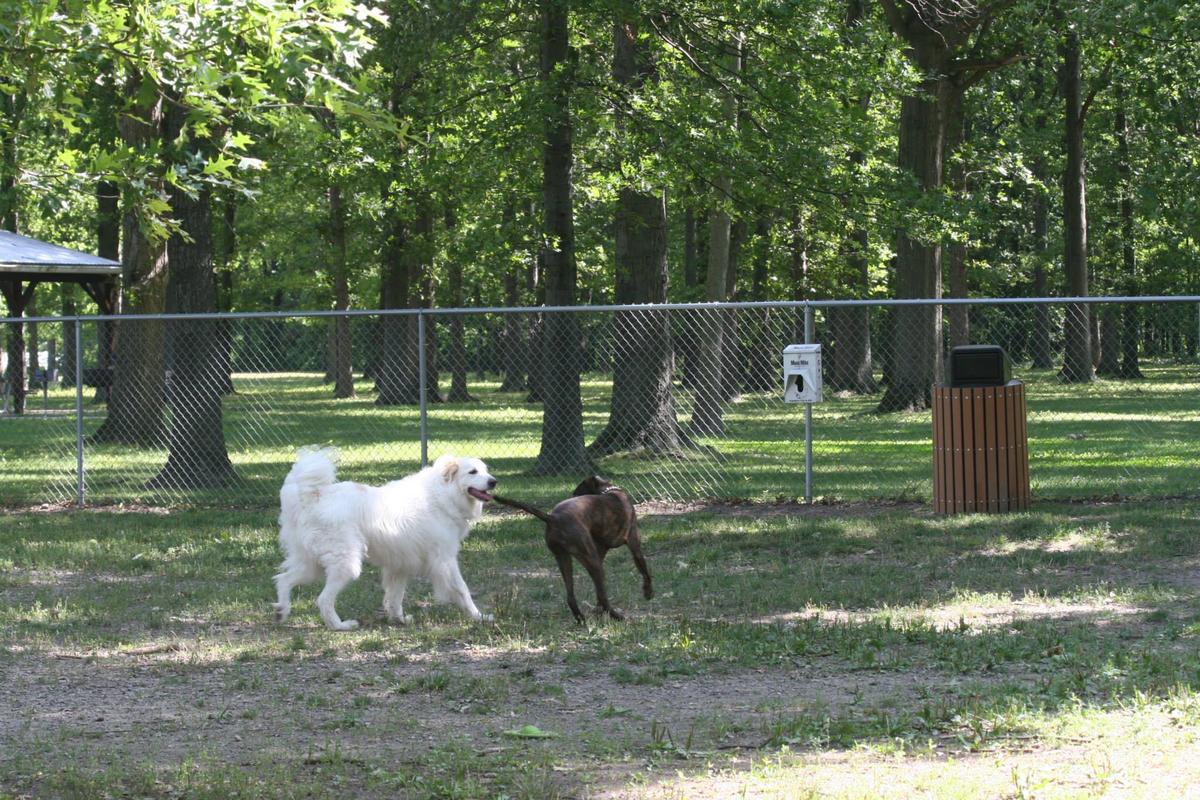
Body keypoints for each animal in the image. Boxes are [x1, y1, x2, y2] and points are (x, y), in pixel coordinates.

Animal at [273, 450, 496, 633]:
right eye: (473, 472)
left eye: (486, 470)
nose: (494, 482)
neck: (443, 493)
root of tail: (313, 496)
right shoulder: (445, 560)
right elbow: (462, 590)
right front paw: (479, 617)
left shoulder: (400, 564)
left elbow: (395, 597)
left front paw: (399, 620)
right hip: (346, 564)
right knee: (323, 600)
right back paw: (340, 625)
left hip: (312, 565)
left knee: (283, 579)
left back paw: (282, 611)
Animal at [492, 479, 652, 623]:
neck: (609, 491)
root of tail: (553, 518)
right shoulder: (634, 546)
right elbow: (645, 572)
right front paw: (648, 593)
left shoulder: (600, 552)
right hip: (592, 563)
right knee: (602, 596)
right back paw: (617, 616)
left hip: (564, 559)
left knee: (572, 596)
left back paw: (581, 618)